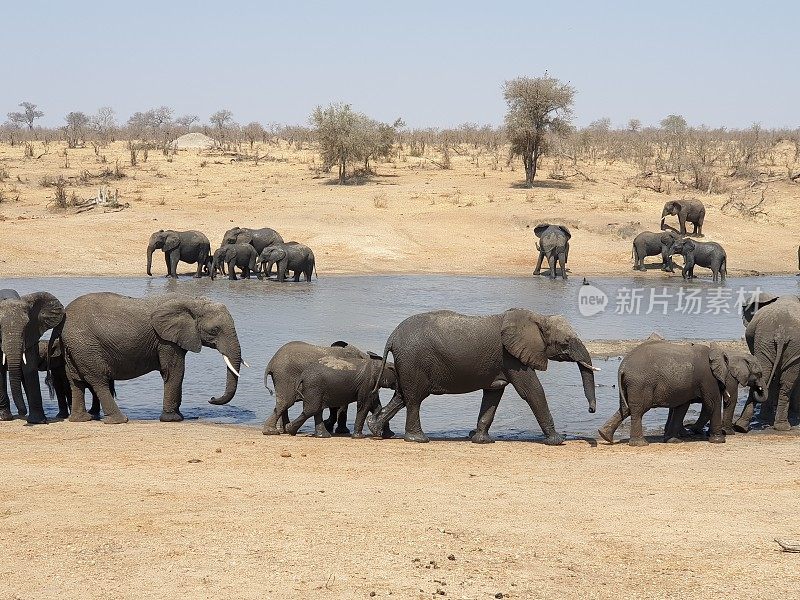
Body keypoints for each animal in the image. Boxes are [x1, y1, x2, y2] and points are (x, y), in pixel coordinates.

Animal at [0, 290, 65, 422]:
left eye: (26, 325)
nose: (21, 412)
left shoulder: (30, 334)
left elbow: (29, 368)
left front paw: (38, 421)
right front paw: (5, 417)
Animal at [58, 292, 242, 424]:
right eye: (214, 330)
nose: (211, 398)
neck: (191, 301)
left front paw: (178, 416)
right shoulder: (165, 340)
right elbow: (175, 371)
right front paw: (173, 419)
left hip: (75, 348)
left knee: (75, 381)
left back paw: (81, 419)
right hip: (86, 346)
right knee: (99, 380)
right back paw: (120, 420)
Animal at [366, 310, 596, 446]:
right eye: (565, 343)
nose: (591, 410)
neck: (537, 318)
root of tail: (392, 336)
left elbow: (493, 395)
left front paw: (482, 440)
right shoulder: (511, 357)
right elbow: (532, 391)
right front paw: (558, 441)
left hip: (408, 363)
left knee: (401, 396)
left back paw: (376, 429)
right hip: (413, 360)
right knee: (414, 399)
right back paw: (419, 439)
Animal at [600, 338, 764, 446]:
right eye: (759, 374)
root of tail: (623, 366)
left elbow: (681, 407)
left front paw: (673, 441)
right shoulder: (708, 377)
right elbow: (713, 403)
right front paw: (719, 440)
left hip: (632, 385)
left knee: (625, 408)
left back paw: (605, 436)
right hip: (641, 383)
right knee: (638, 409)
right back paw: (640, 443)